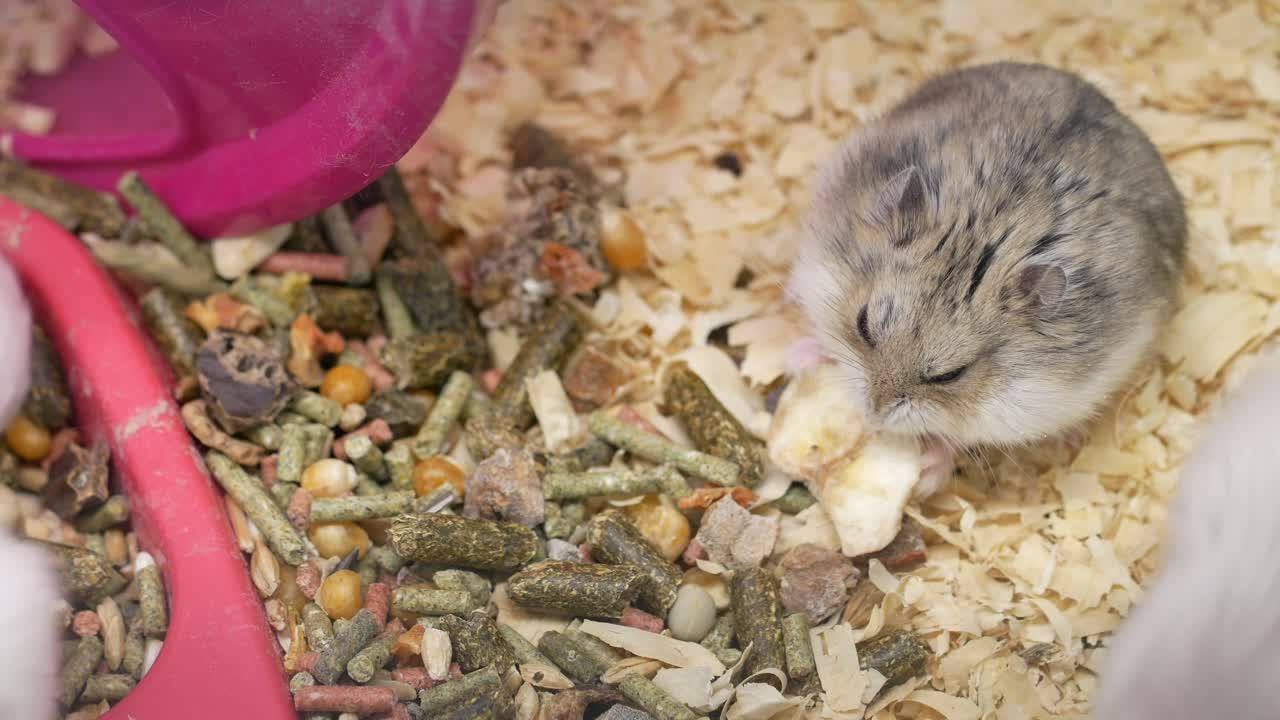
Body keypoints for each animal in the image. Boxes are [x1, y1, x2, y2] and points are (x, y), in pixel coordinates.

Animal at [786, 62, 1186, 493]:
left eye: (949, 375)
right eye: (863, 326)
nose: (873, 414)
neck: (978, 241)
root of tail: (1104, 100)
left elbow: (956, 436)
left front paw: (927, 475)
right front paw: (796, 357)